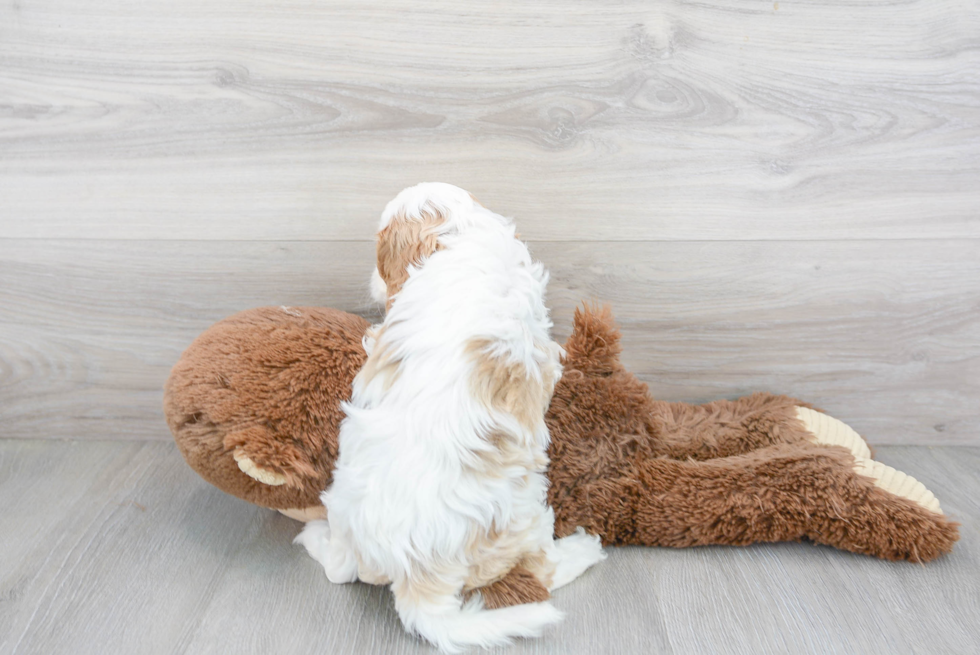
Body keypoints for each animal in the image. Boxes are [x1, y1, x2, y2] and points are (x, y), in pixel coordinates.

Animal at [294, 183, 604, 652]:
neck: (461, 235)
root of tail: (419, 573)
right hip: (528, 512)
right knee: (543, 569)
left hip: (346, 500)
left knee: (341, 568)